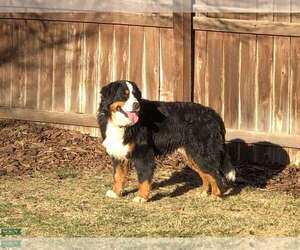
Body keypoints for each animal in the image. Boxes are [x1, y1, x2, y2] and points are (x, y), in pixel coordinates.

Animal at [97, 80, 236, 203]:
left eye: (136, 95)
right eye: (124, 95)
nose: (137, 105)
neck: (123, 125)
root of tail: (214, 114)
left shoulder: (143, 154)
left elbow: (143, 178)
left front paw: (142, 197)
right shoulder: (118, 153)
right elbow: (118, 176)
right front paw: (116, 193)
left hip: (202, 153)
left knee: (216, 174)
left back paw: (216, 195)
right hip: (192, 155)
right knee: (207, 174)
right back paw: (204, 192)